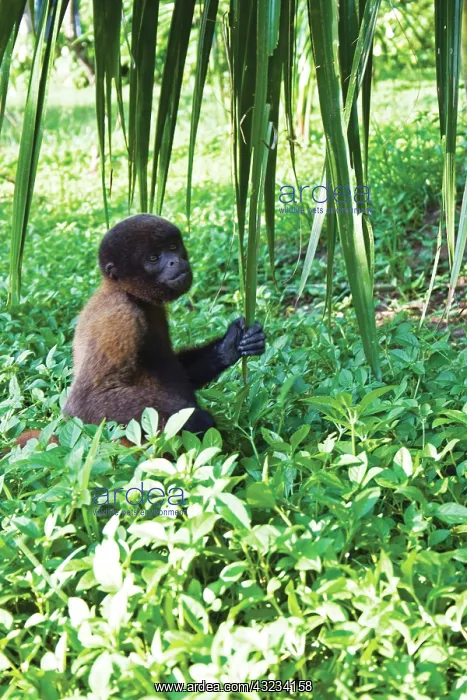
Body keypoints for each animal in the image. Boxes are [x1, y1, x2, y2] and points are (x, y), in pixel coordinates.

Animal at [63, 214, 266, 436]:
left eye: (173, 247)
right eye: (153, 258)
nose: (174, 261)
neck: (127, 293)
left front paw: (231, 345)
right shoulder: (119, 319)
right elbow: (85, 402)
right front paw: (196, 420)